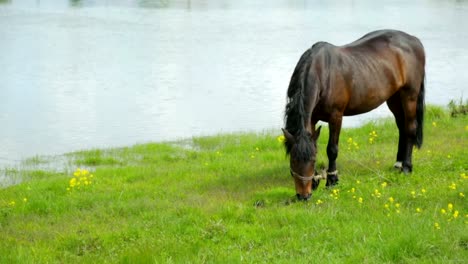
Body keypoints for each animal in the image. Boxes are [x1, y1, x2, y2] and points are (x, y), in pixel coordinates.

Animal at [284, 29, 426, 200]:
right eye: (293, 160)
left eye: (312, 160)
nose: (304, 196)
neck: (323, 73)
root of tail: (415, 41)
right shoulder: (311, 118)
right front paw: (316, 181)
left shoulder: (336, 116)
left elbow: (332, 149)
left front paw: (332, 180)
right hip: (394, 98)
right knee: (402, 127)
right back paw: (398, 164)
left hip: (409, 95)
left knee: (410, 128)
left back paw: (406, 167)